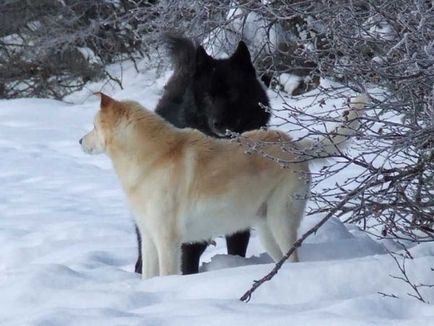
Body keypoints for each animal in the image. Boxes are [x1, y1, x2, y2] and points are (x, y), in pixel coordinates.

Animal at [79, 92, 364, 278]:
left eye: (92, 126)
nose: (79, 141)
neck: (150, 156)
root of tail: (293, 144)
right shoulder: (149, 238)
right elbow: (148, 277)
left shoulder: (168, 240)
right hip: (266, 229)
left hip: (280, 223)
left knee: (293, 257)